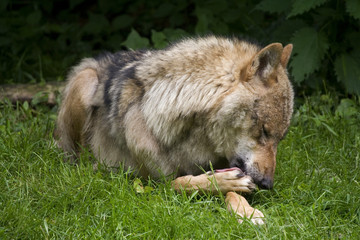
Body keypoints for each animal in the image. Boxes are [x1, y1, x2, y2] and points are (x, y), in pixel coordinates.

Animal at [55, 36, 292, 225]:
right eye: (263, 131)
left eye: (280, 138)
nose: (267, 184)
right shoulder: (154, 185)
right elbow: (182, 182)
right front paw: (219, 183)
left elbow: (234, 192)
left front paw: (247, 212)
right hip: (86, 81)